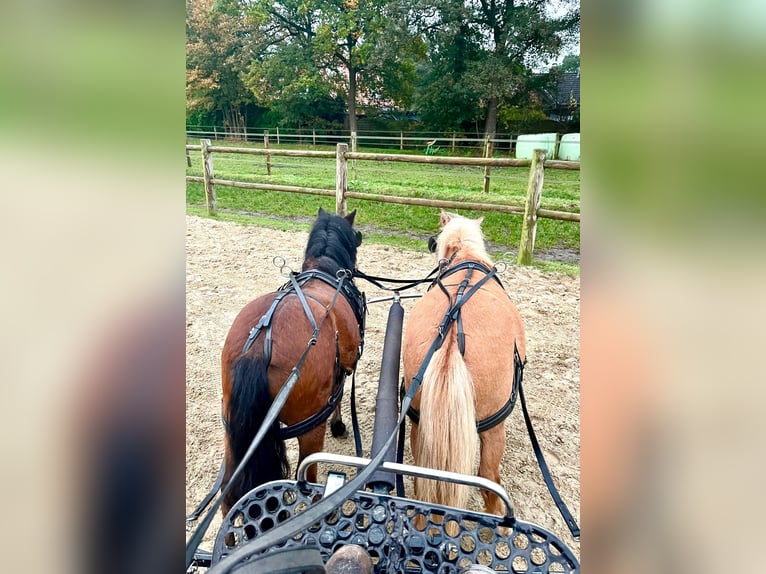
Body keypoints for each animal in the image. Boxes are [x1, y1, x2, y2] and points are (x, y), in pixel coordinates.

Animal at [220, 209, 368, 520]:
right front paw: (339, 425)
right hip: (310, 429)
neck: (325, 272)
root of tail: (260, 347)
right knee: (309, 483)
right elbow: (339, 396)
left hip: (233, 430)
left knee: (228, 495)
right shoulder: (343, 372)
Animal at [402, 210, 528, 516]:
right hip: (494, 427)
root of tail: (450, 341)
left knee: (424, 480)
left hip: (422, 425)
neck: (465, 257)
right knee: (488, 477)